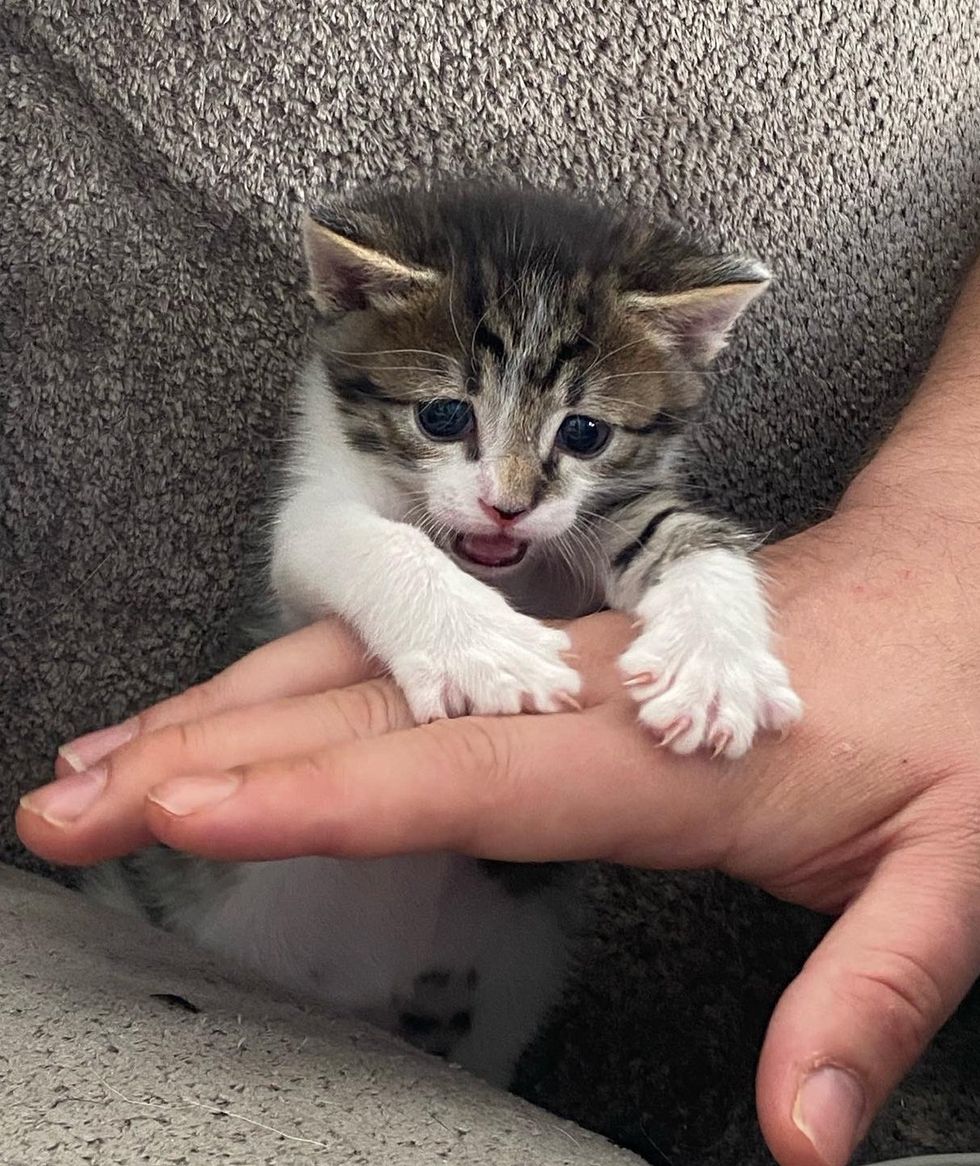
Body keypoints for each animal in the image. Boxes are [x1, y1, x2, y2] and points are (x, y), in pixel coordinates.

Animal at [88, 179, 798, 1082]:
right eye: (443, 416)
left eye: (585, 432)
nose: (507, 506)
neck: (499, 568)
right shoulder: (304, 546)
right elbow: (362, 541)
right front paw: (485, 652)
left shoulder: (595, 514)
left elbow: (682, 531)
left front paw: (715, 664)